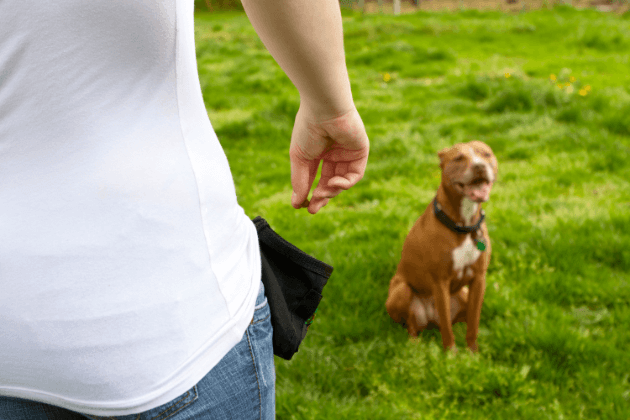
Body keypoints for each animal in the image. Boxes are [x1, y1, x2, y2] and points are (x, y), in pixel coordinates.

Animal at [386, 140, 498, 352]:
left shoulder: (479, 279)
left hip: (463, 294)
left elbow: (474, 322)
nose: (479, 166)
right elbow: (447, 327)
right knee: (412, 325)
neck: (463, 225)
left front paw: (473, 352)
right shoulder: (440, 282)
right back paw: (414, 345)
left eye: (486, 154)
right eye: (459, 158)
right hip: (401, 291)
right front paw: (451, 354)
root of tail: (431, 322)